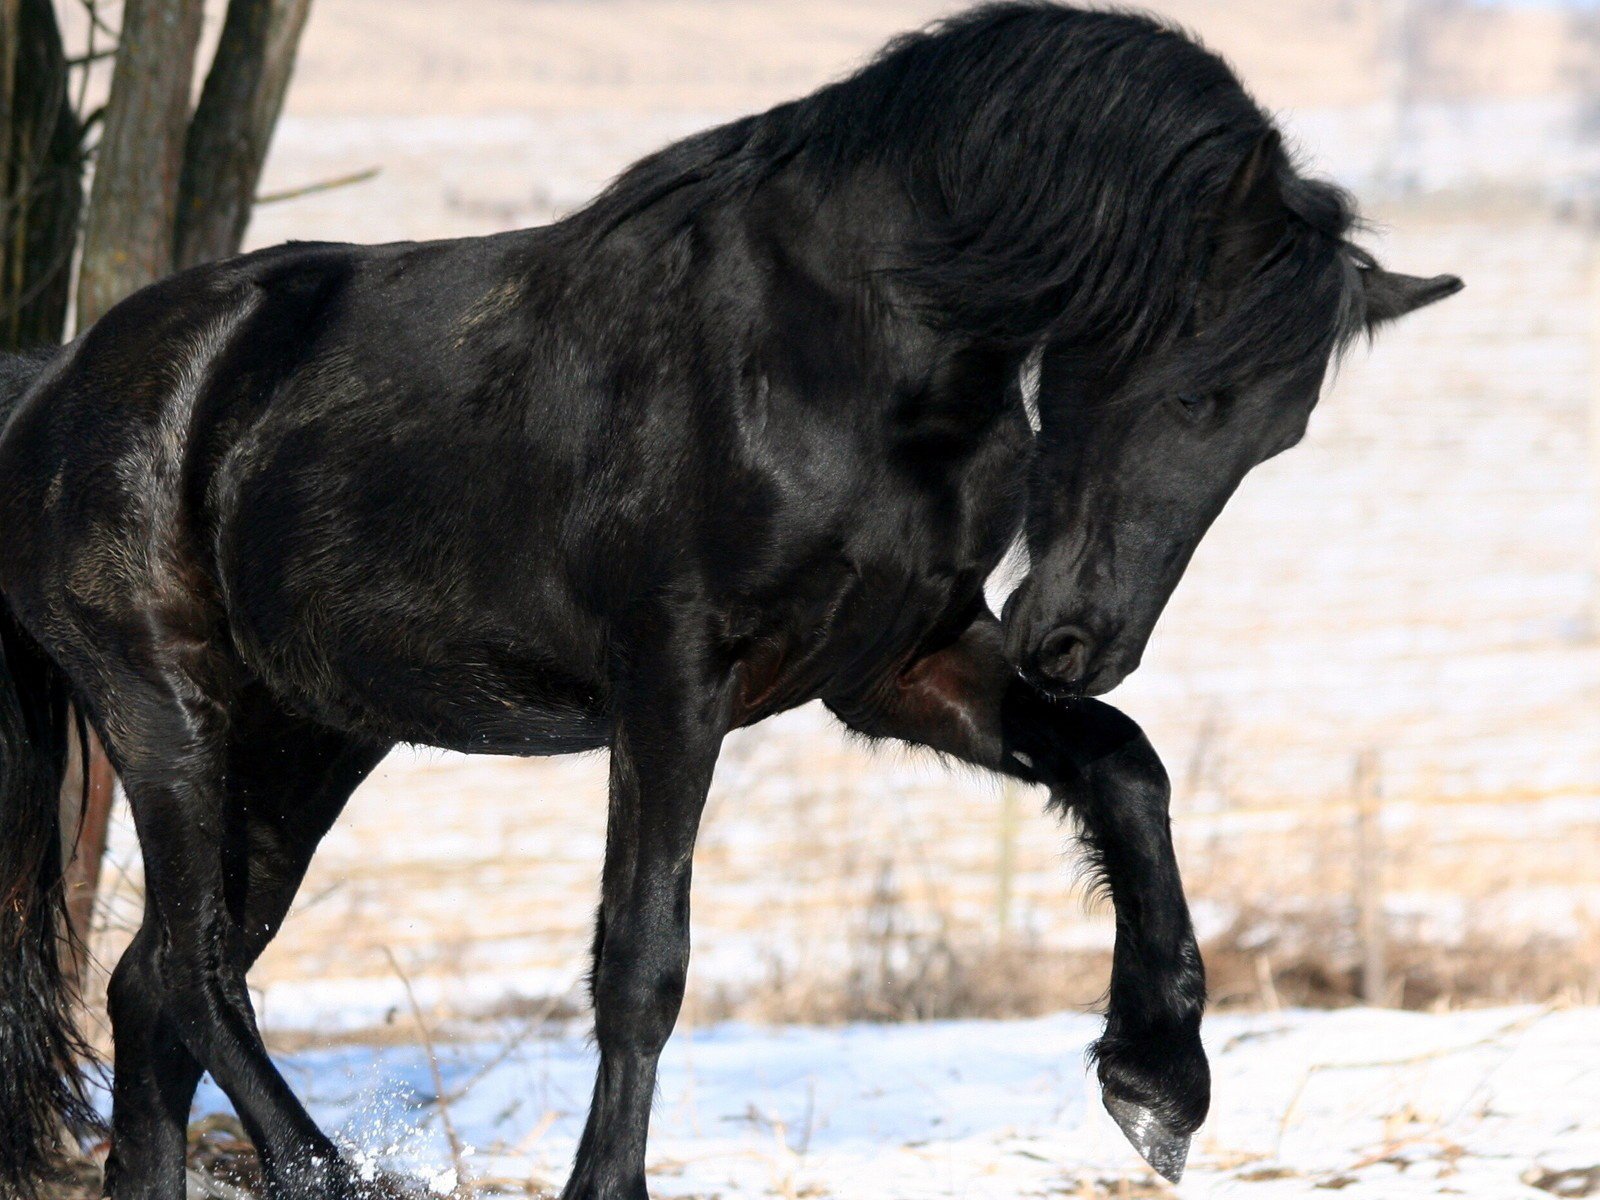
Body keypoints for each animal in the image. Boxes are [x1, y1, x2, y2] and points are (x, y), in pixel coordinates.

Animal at [0, 4, 1459, 1196]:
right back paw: (338, 1173)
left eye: (1277, 434)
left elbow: (1125, 771)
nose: (1081, 641)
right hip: (169, 712)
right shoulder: (671, 681)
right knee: (192, 970)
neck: (845, 346)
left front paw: (1158, 1083)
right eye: (1195, 390)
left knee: (155, 989)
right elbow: (643, 958)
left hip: (307, 740)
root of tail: (57, 383)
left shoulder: (897, 667)